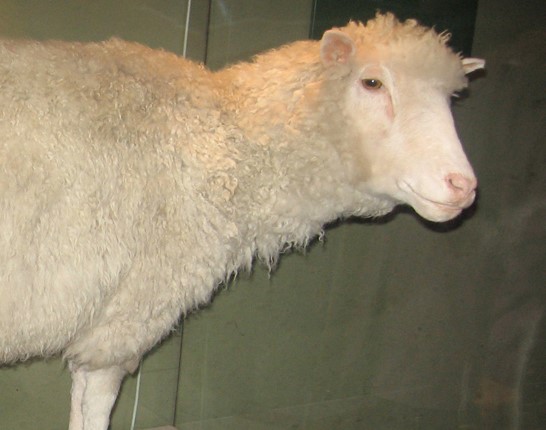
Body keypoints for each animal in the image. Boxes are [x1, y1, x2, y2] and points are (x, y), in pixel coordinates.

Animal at [1, 13, 484, 430]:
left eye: (451, 98)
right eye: (372, 82)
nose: (462, 185)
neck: (228, 144)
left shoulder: (108, 321)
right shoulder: (128, 312)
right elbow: (94, 406)